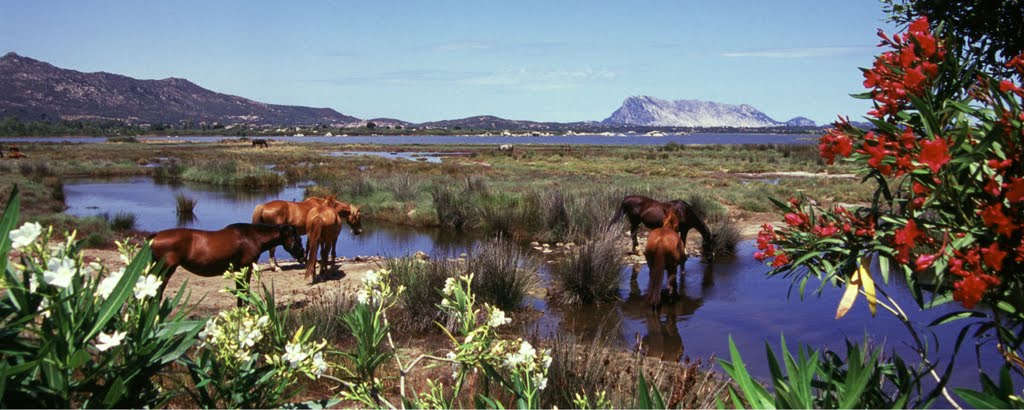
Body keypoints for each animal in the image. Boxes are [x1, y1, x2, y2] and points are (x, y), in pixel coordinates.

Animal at [146, 222, 303, 305]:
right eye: (297, 238)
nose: (303, 256)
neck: (252, 237)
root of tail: (156, 236)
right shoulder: (245, 269)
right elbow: (243, 292)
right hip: (165, 271)